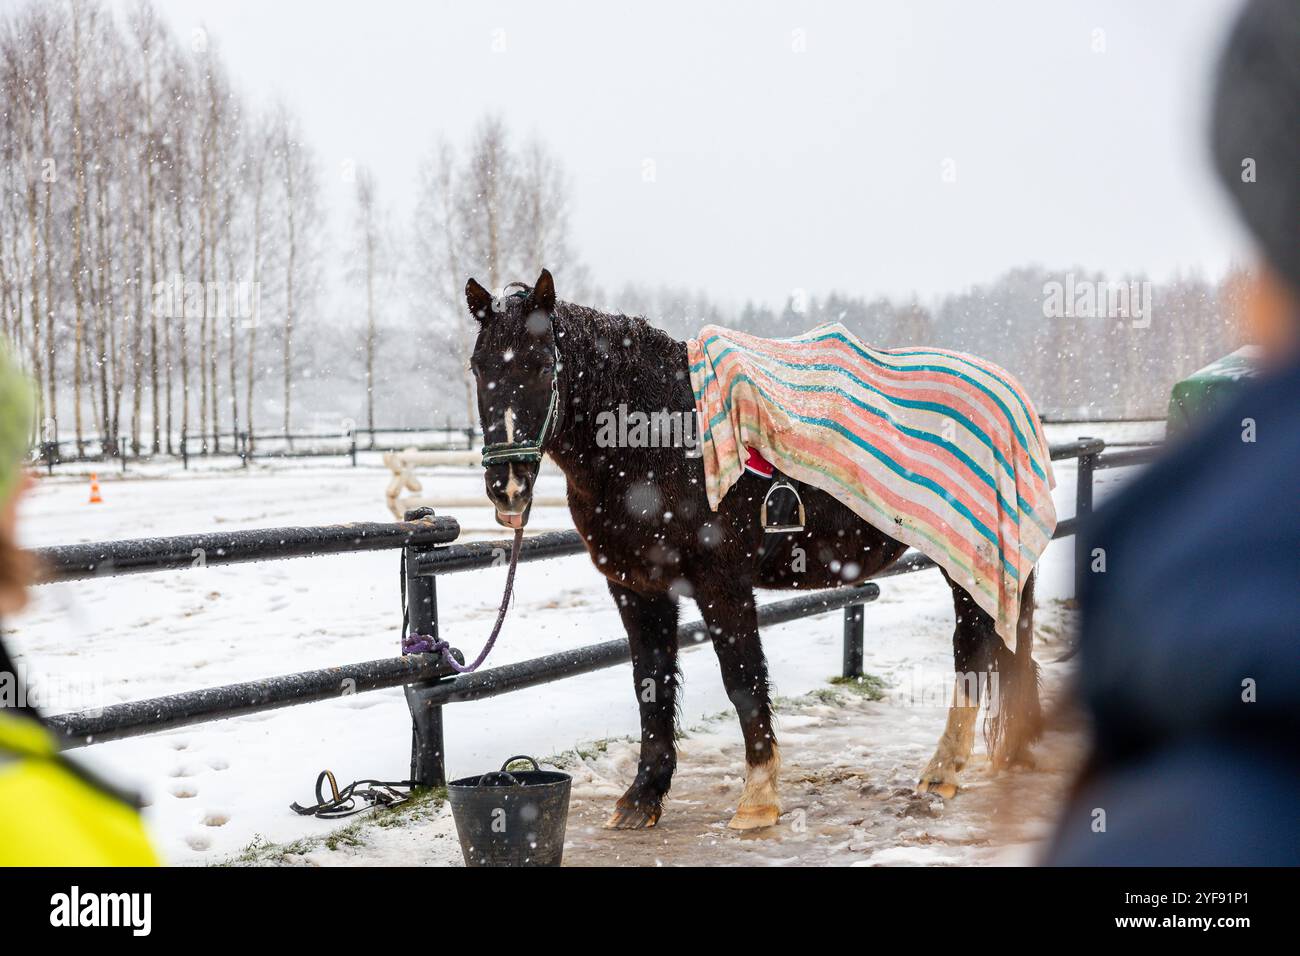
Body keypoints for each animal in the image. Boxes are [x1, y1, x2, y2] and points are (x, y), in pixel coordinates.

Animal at [466, 269, 1041, 830]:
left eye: (543, 365)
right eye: (477, 367)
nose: (507, 488)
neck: (661, 439)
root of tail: (1010, 394)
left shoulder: (722, 585)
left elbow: (742, 678)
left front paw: (758, 800)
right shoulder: (637, 589)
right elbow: (650, 684)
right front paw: (643, 797)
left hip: (964, 566)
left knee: (971, 648)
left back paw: (943, 771)